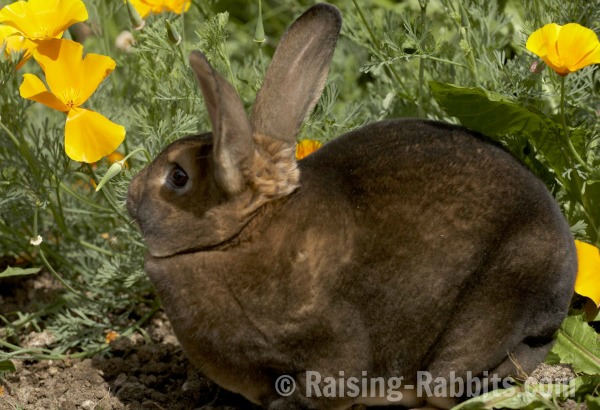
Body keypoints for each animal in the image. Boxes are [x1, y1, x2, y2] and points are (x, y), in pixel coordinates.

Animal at [126, 3, 576, 410]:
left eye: (178, 177)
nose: (130, 195)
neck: (241, 234)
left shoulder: (331, 344)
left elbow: (329, 380)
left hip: (490, 313)